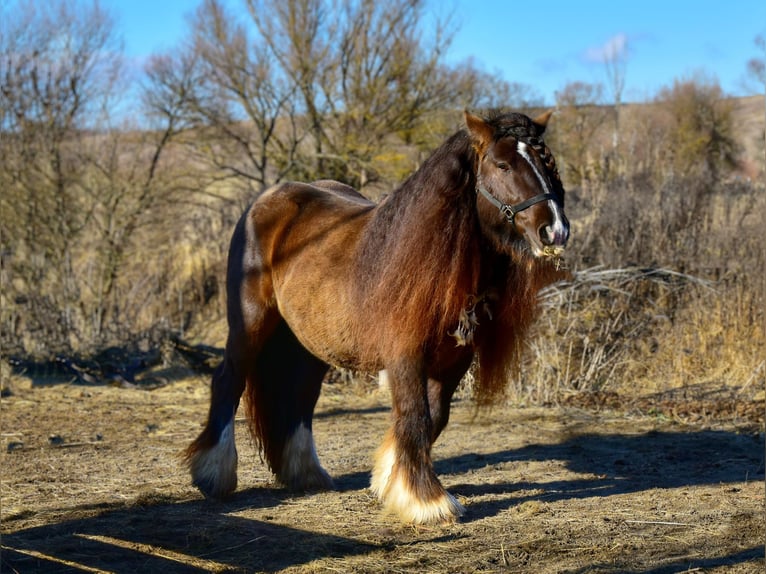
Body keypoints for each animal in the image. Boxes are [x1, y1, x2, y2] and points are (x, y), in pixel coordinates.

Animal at [184, 109, 568, 528]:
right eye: (502, 164)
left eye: (547, 162)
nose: (555, 230)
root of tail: (265, 202)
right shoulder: (405, 357)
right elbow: (416, 417)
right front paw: (428, 502)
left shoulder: (453, 362)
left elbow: (435, 418)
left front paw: (390, 480)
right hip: (250, 326)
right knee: (229, 380)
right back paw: (213, 474)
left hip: (309, 343)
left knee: (300, 396)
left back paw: (306, 474)